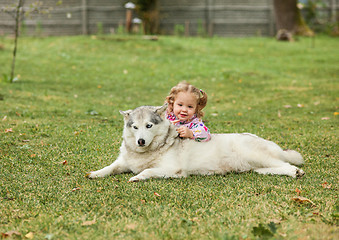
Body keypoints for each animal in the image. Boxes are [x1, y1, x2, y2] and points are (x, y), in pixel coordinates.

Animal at [87, 103, 306, 182]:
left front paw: (137, 177)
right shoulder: (123, 162)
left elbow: (147, 171)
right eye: (134, 127)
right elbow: (110, 167)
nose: (140, 141)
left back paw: (296, 172)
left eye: (148, 126)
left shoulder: (172, 170)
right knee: (276, 167)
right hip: (258, 167)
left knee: (287, 164)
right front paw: (95, 173)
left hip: (257, 155)